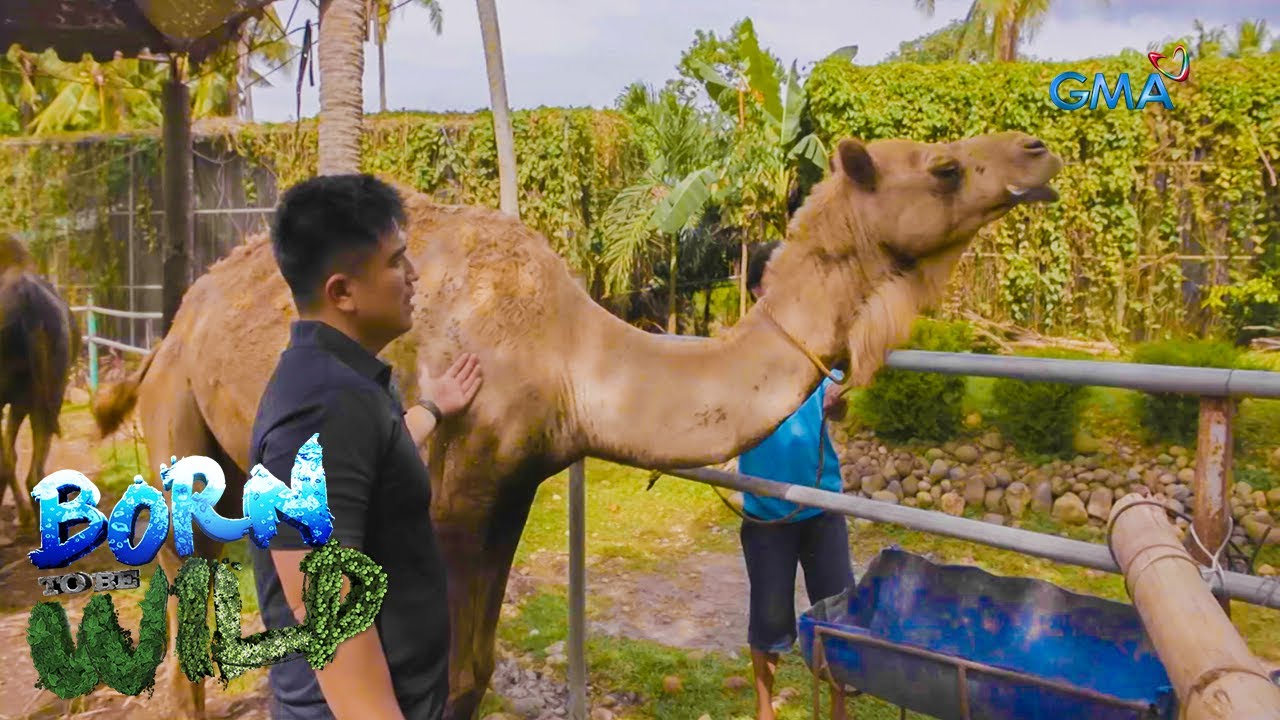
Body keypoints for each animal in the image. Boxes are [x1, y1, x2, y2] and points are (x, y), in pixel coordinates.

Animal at [90, 131, 1062, 719]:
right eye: (943, 166)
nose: (1038, 151)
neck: (570, 357)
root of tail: (172, 326)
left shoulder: (514, 487)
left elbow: (475, 673)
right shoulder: (453, 497)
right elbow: (436, 674)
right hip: (176, 426)